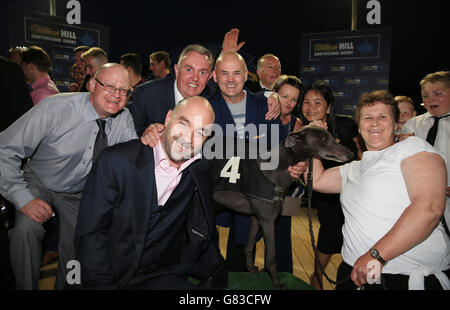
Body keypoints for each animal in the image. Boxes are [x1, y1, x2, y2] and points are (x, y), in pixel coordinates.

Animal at [211, 124, 356, 290]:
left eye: (333, 137)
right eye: (325, 140)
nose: (352, 155)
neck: (275, 169)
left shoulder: (256, 218)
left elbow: (248, 246)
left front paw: (251, 269)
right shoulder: (268, 221)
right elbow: (271, 256)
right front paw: (276, 283)